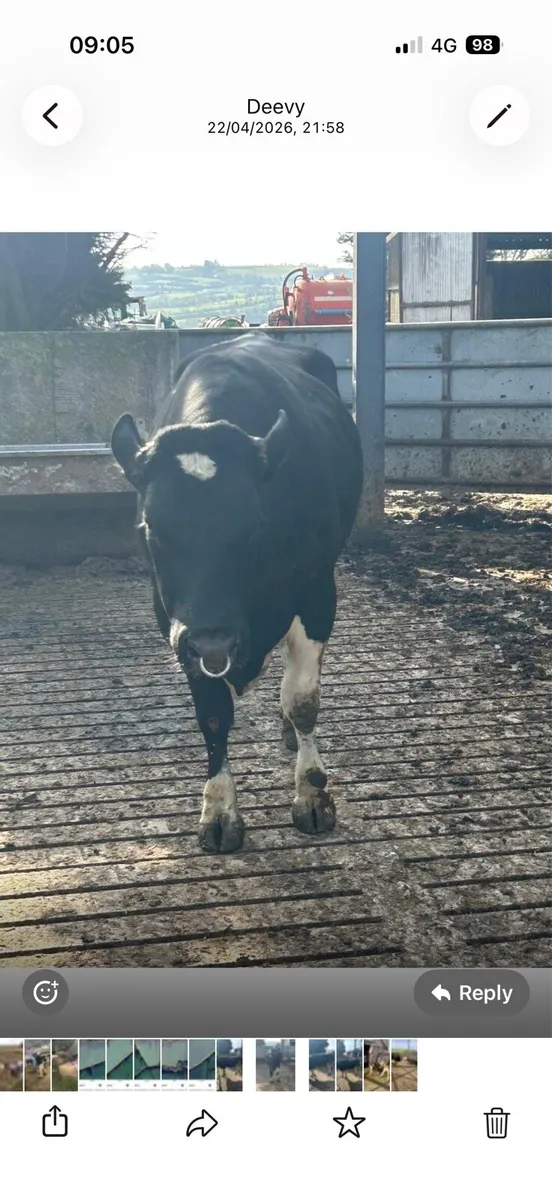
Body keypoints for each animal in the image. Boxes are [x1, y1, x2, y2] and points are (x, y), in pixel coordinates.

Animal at [111, 334, 363, 854]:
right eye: (151, 528)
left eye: (256, 526)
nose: (215, 641)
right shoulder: (178, 626)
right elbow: (212, 717)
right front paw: (220, 810)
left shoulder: (318, 596)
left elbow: (303, 700)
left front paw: (312, 794)